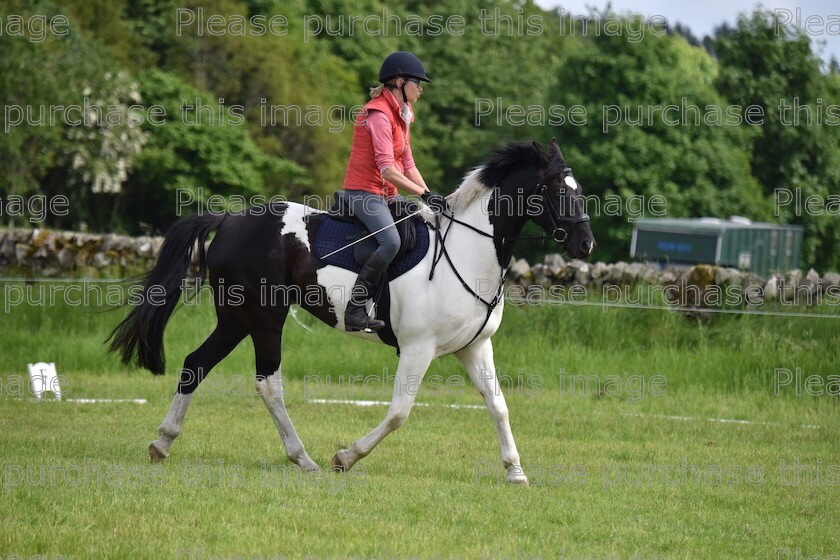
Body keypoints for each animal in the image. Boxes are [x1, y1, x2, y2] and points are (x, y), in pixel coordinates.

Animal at [108, 138, 592, 484]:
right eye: (555, 189)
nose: (586, 244)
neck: (467, 251)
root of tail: (228, 220)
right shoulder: (417, 349)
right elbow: (399, 412)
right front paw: (346, 457)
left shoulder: (475, 348)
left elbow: (498, 406)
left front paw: (515, 471)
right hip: (265, 317)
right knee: (268, 383)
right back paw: (303, 458)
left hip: (234, 319)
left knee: (196, 364)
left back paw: (162, 443)